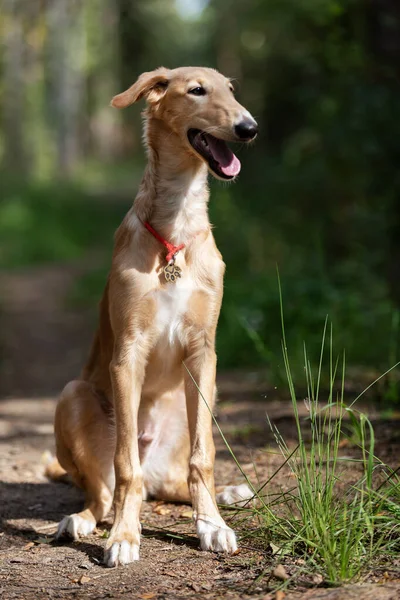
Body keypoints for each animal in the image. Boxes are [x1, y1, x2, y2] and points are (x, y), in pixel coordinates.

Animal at [47, 67, 258, 568]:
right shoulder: (128, 351)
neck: (175, 229)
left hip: (201, 400)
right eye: (197, 90)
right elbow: (126, 465)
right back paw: (84, 520)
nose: (250, 128)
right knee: (107, 493)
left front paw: (212, 525)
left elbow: (203, 458)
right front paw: (124, 536)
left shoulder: (203, 350)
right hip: (73, 396)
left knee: (180, 479)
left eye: (231, 90)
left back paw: (225, 495)